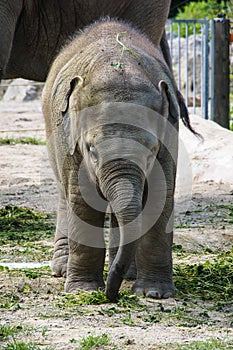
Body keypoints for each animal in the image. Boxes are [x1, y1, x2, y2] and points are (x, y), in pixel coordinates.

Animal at [42, 18, 180, 300]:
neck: (120, 67)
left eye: (151, 150)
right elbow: (81, 200)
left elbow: (160, 197)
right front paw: (83, 291)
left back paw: (129, 274)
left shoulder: (170, 133)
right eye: (91, 150)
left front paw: (154, 293)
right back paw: (63, 270)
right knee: (65, 193)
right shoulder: (72, 141)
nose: (111, 294)